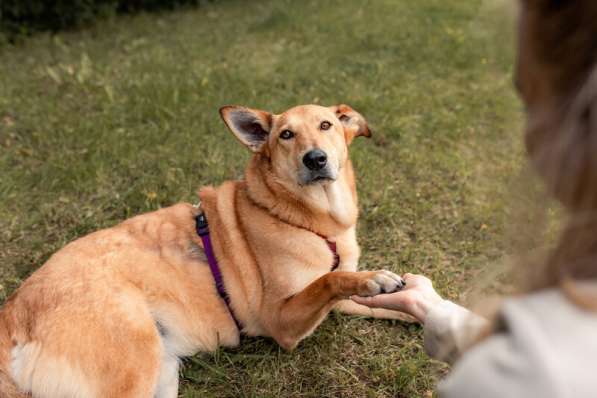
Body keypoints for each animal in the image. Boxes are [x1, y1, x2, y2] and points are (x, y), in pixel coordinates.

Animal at [0, 104, 408, 396]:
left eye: (326, 125)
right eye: (286, 135)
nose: (315, 159)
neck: (311, 221)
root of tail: (13, 311)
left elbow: (380, 298)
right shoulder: (280, 319)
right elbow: (332, 279)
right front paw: (372, 277)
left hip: (162, 373)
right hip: (132, 365)